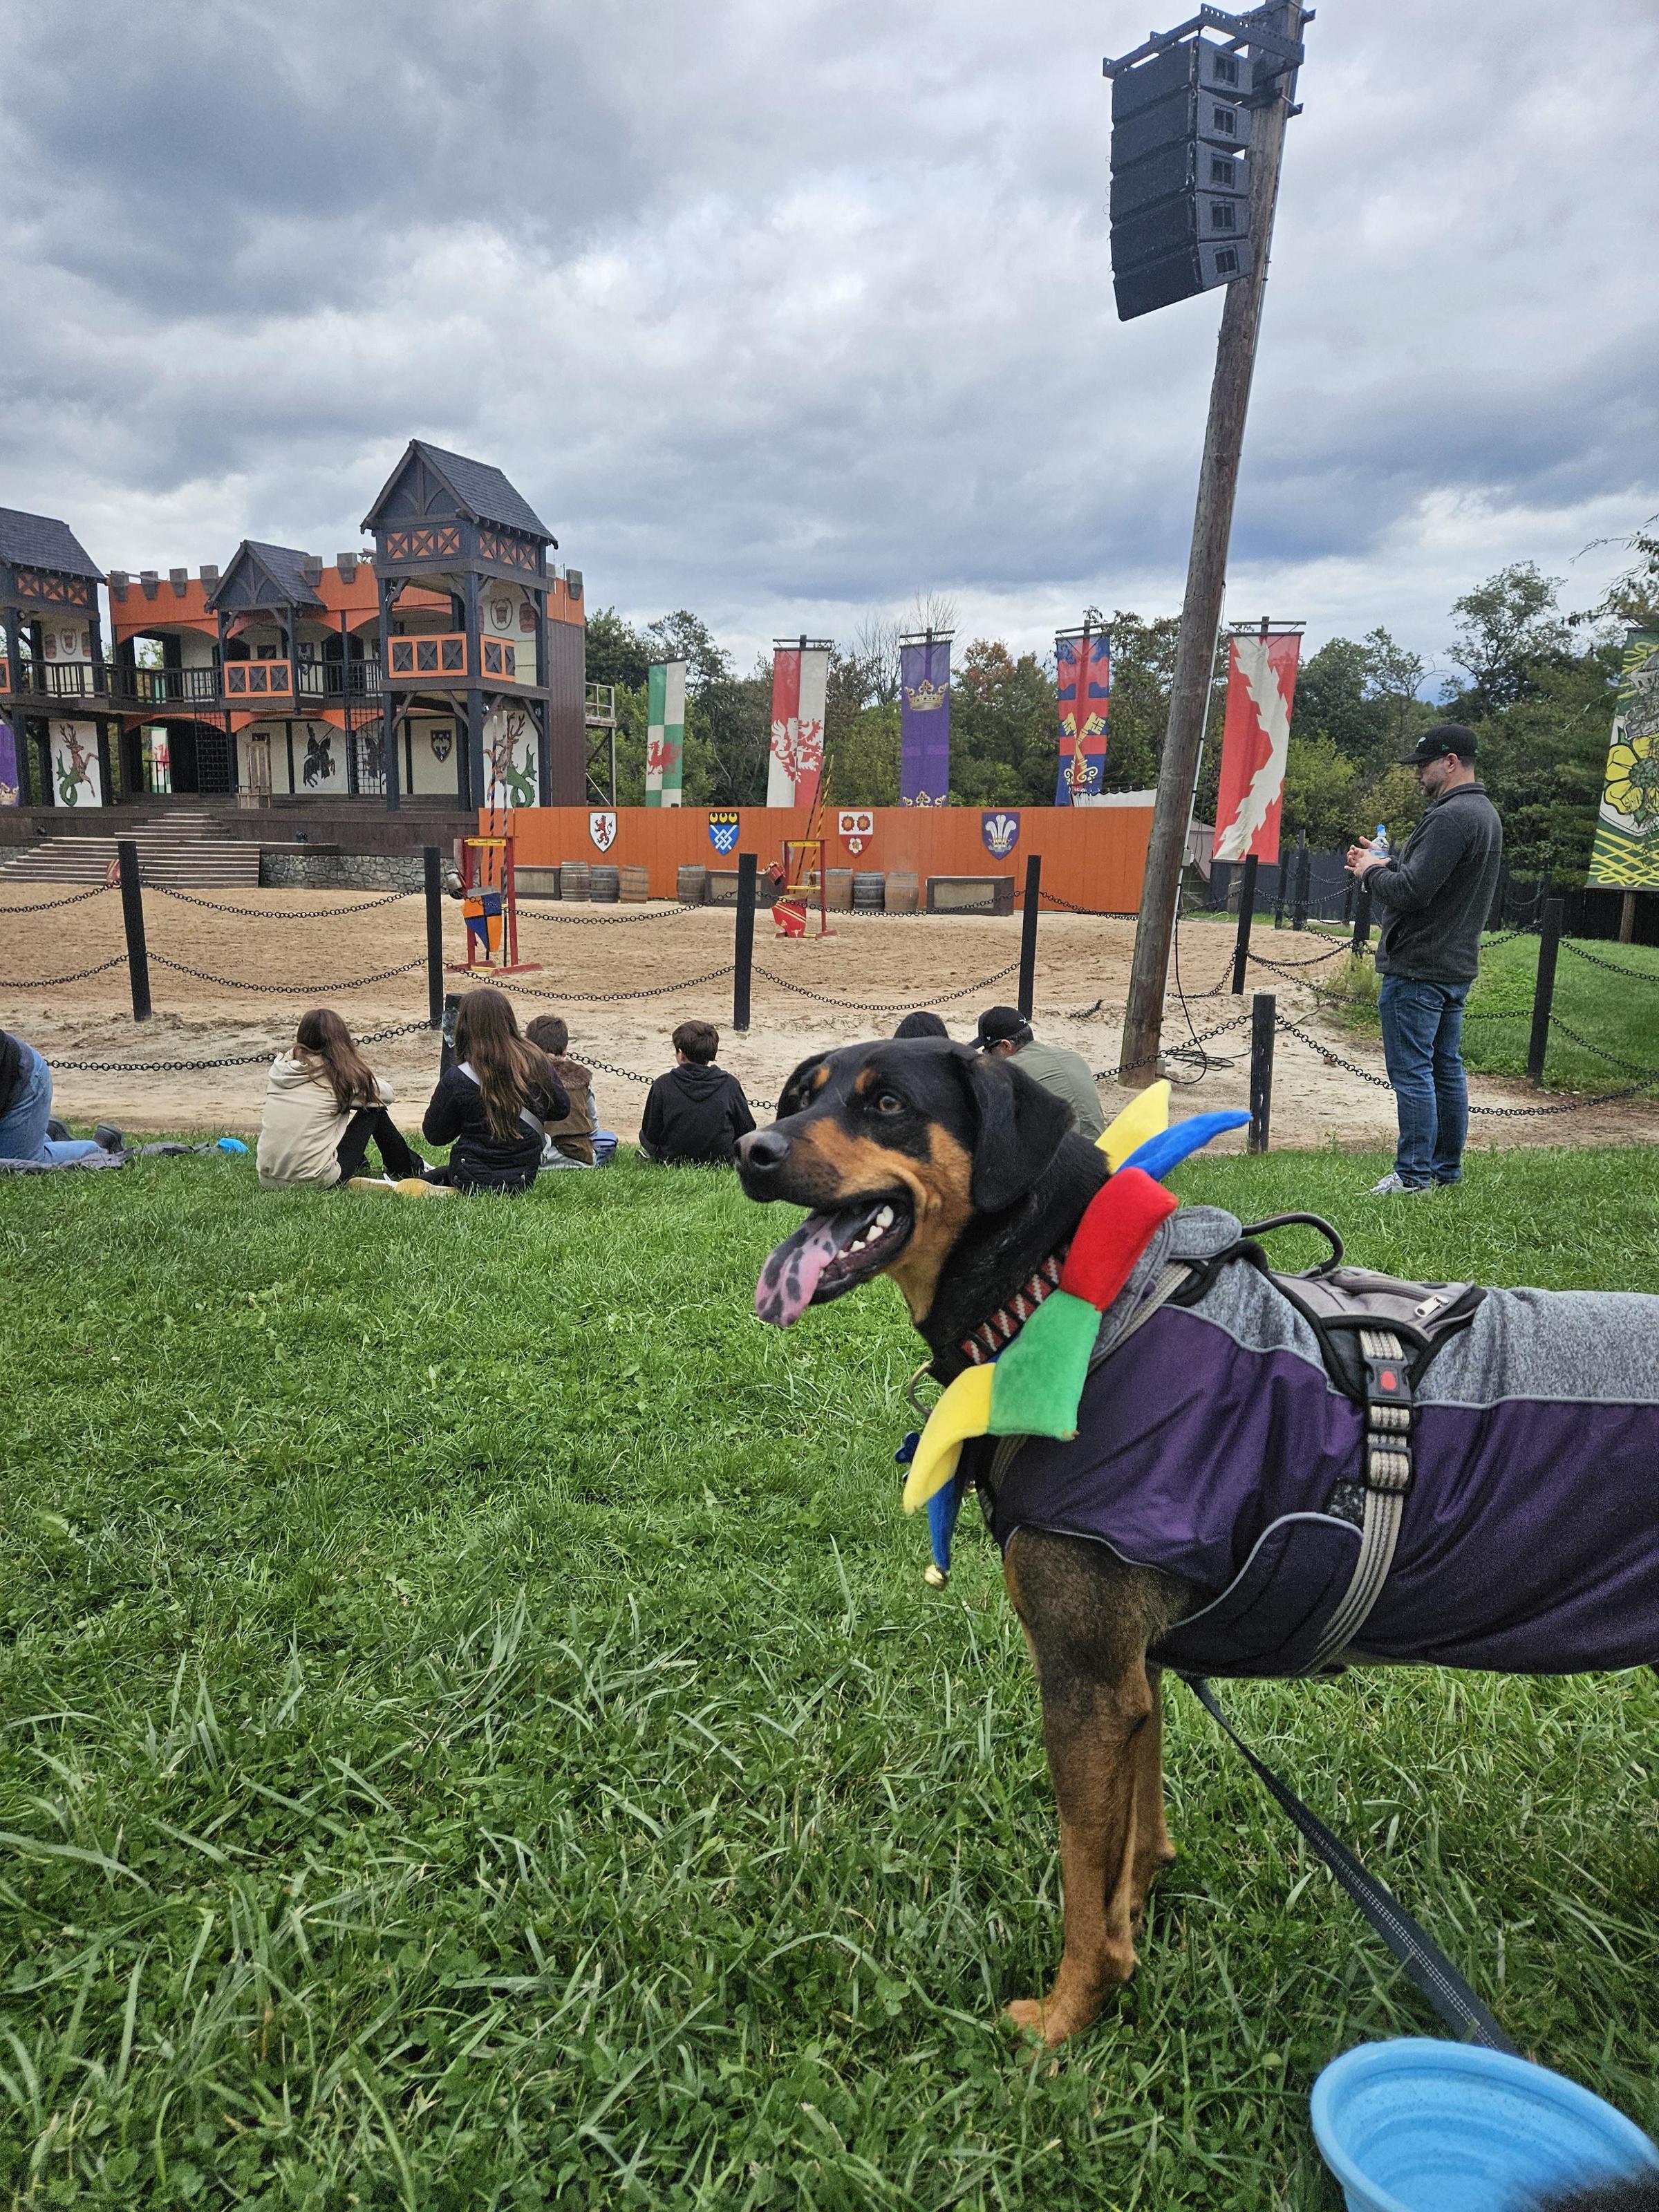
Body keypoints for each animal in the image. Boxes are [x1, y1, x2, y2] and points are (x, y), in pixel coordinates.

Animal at [738, 1026, 1659, 2043]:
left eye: (888, 1104)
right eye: (802, 1096)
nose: (752, 1150)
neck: (1073, 1295)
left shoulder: (1085, 1682)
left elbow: (1081, 1882)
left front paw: (1064, 2020)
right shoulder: (1136, 1669)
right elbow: (1133, 1838)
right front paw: (1136, 1921)